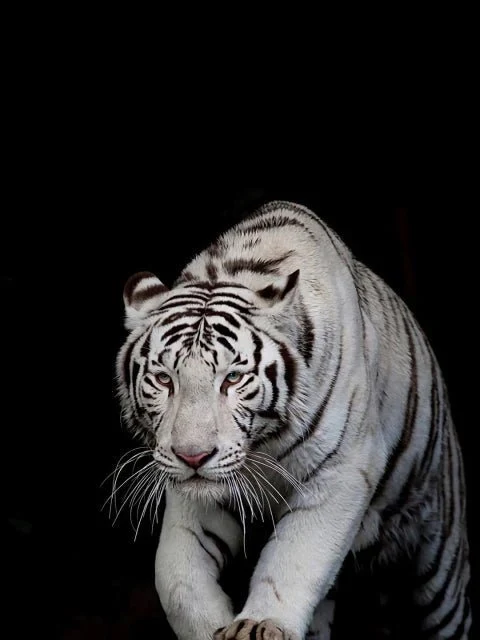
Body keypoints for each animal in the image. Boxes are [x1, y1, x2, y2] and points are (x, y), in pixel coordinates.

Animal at [115, 201, 471, 639]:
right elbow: (177, 577)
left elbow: (293, 559)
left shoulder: (342, 472)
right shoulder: (192, 494)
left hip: (438, 565)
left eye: (232, 378)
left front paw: (259, 624)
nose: (193, 456)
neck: (264, 443)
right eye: (164, 379)